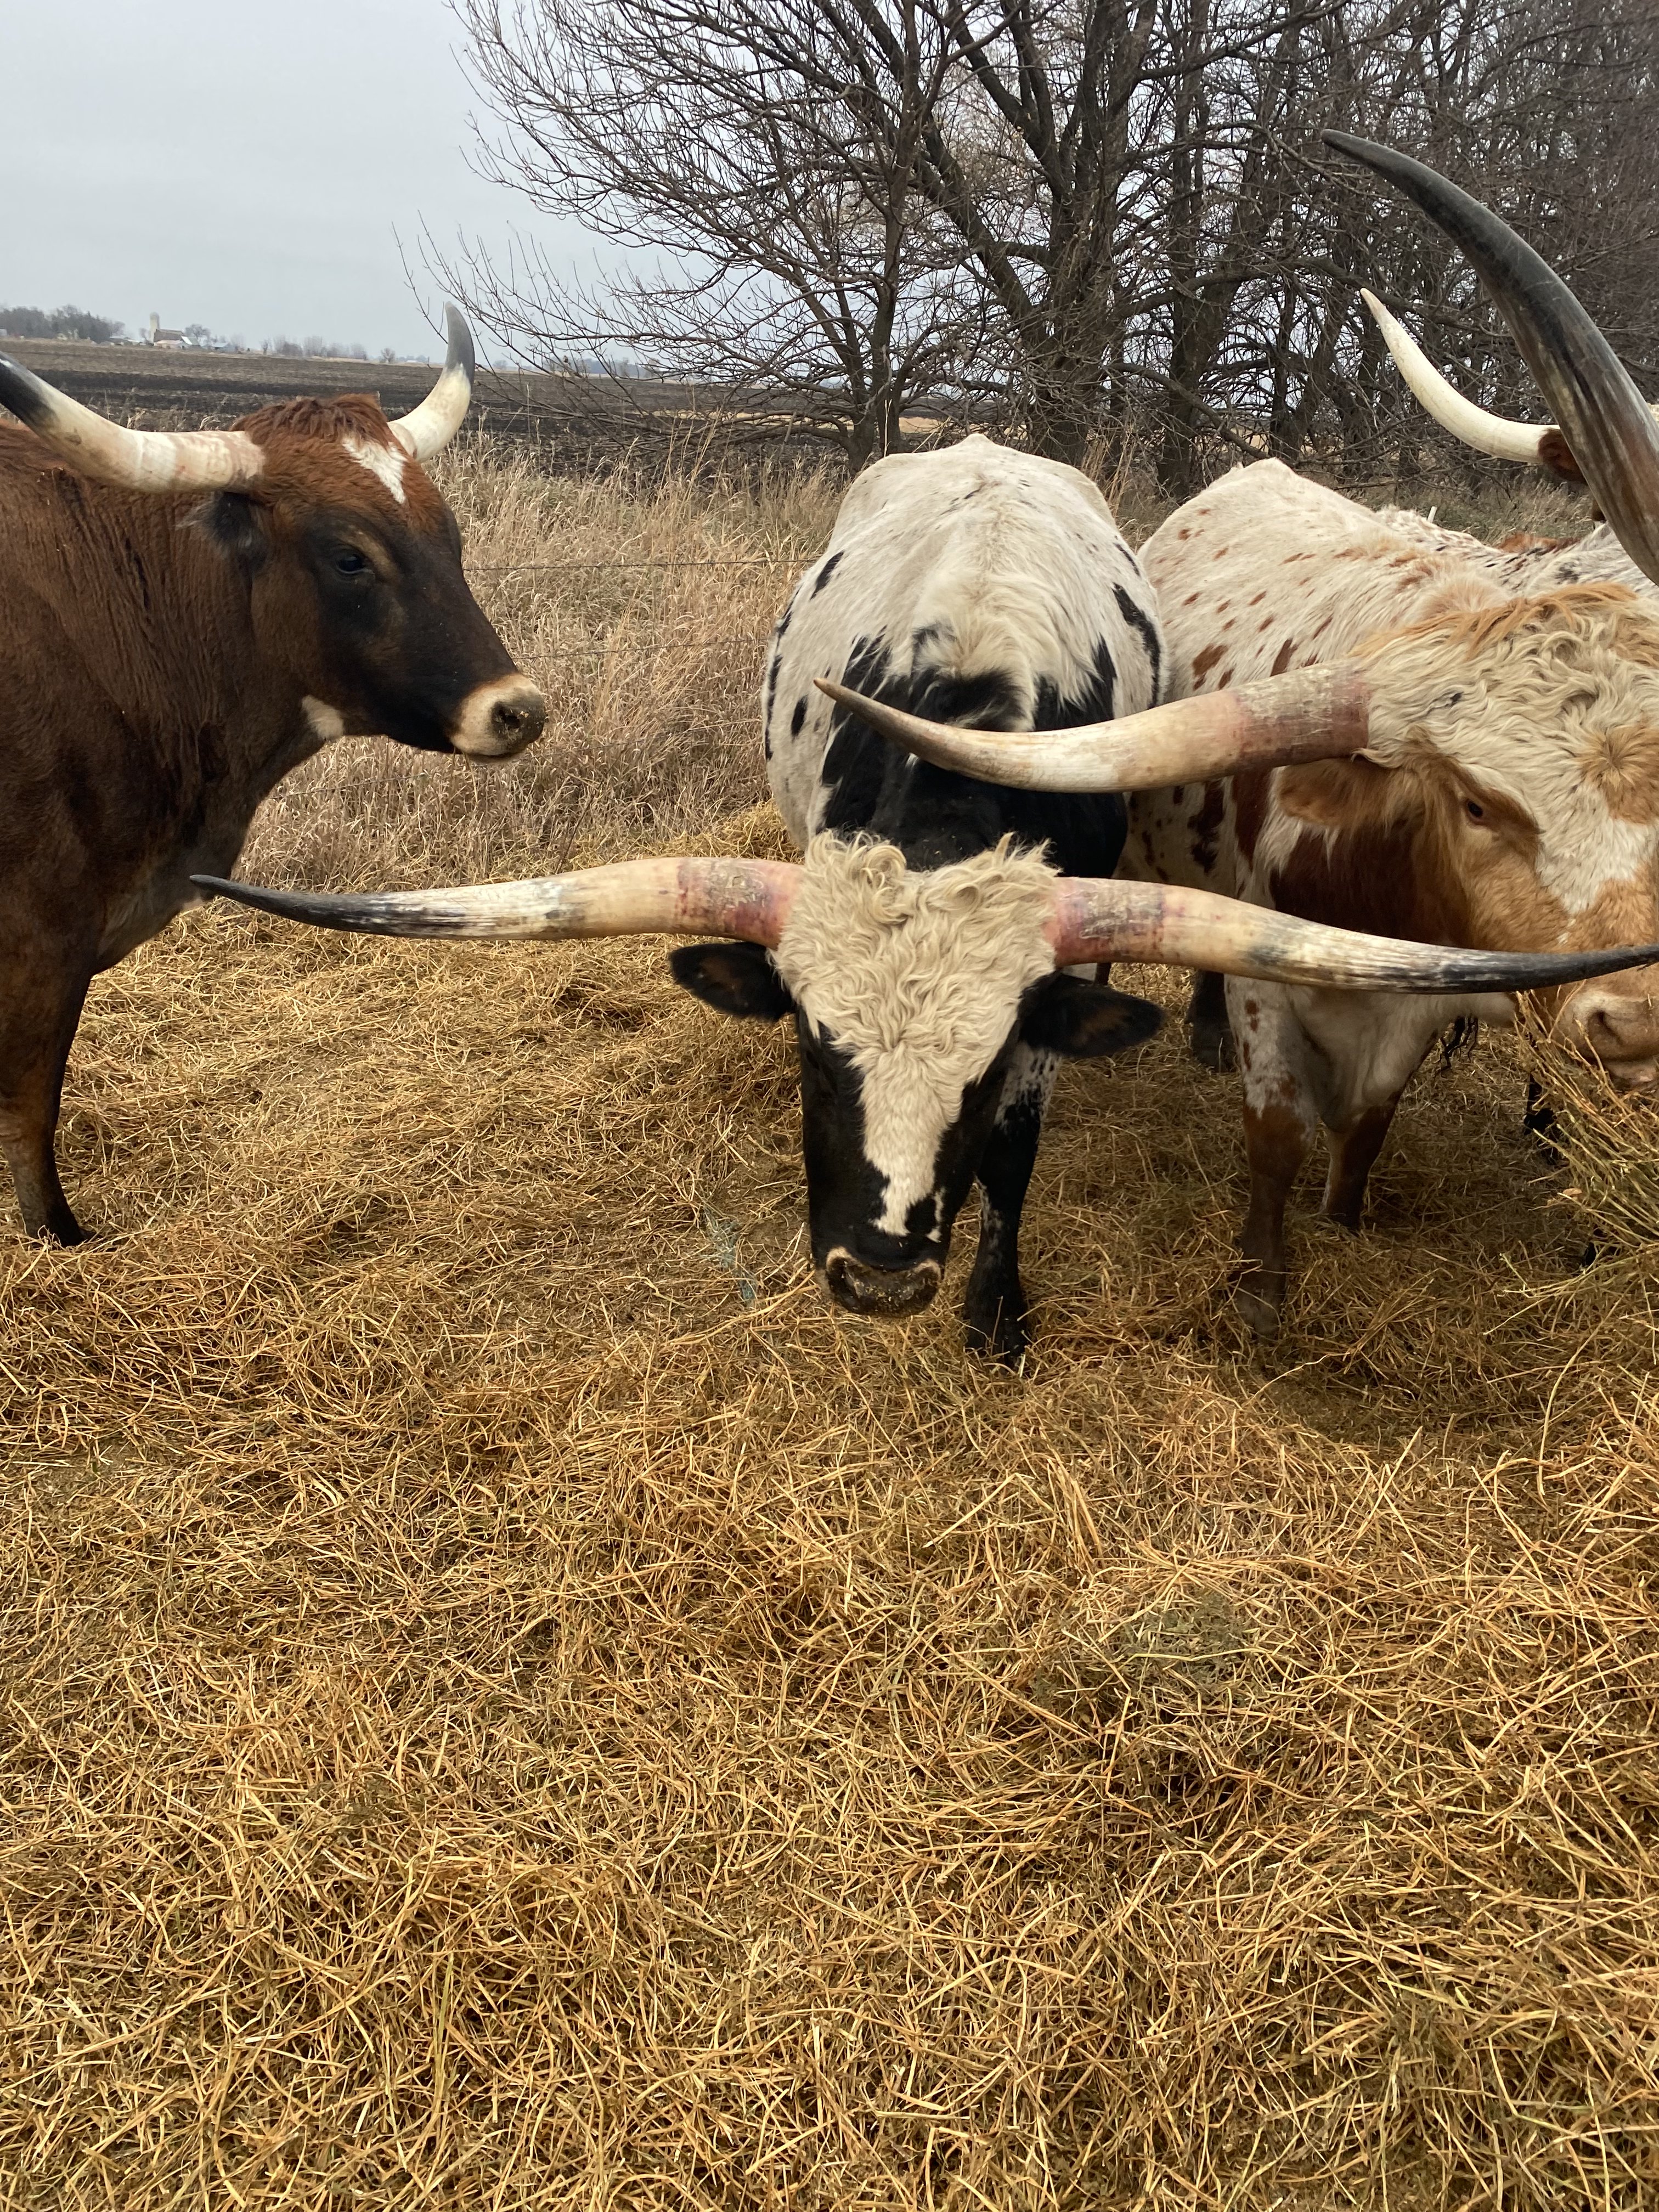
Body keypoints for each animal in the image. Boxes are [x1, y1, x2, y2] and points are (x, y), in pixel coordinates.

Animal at [0, 310, 546, 1247]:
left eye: (451, 538)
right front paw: (63, 1240)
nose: (518, 710)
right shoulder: (42, 934)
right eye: (350, 557)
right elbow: (33, 1121)